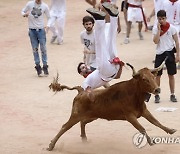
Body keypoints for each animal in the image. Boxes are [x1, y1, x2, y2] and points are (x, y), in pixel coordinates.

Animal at [47, 61, 176, 150]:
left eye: (153, 77)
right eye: (144, 79)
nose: (157, 89)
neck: (134, 94)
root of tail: (81, 91)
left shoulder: (144, 111)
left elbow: (156, 122)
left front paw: (170, 130)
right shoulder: (130, 117)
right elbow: (142, 129)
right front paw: (150, 142)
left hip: (92, 116)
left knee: (82, 123)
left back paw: (84, 138)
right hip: (76, 115)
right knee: (65, 126)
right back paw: (51, 145)